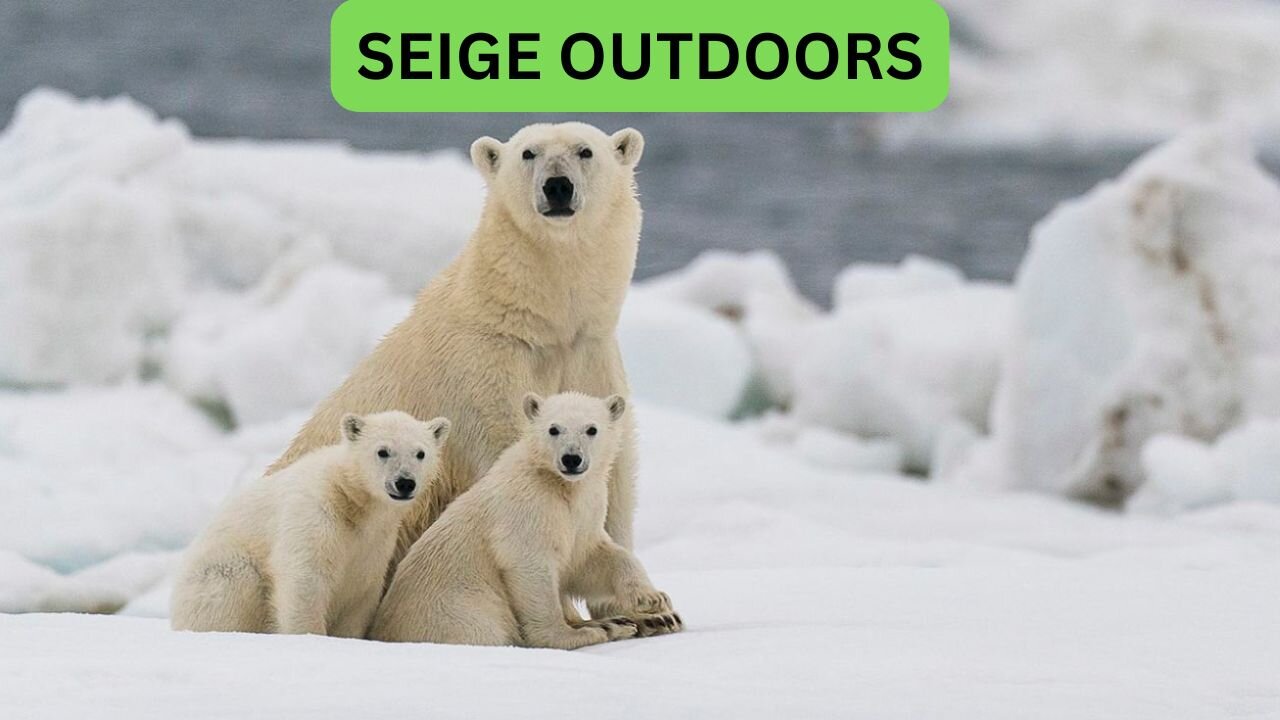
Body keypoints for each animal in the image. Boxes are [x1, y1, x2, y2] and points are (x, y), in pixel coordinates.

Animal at [170, 410, 451, 637]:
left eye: (420, 453)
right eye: (383, 451)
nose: (404, 482)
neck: (350, 499)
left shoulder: (374, 543)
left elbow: (359, 593)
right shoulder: (313, 513)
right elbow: (305, 578)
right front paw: (309, 636)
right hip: (216, 575)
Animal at [370, 392, 680, 649]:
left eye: (592, 429)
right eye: (553, 429)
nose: (571, 458)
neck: (562, 486)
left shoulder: (586, 511)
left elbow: (590, 557)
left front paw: (652, 599)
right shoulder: (527, 507)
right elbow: (530, 565)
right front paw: (573, 634)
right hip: (457, 608)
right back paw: (606, 626)